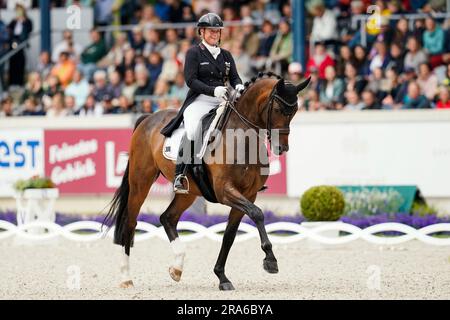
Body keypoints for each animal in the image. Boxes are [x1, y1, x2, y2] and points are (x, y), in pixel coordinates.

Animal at [103, 72, 312, 290]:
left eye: (295, 111)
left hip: (188, 192)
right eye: (279, 109)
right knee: (130, 222)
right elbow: (257, 214)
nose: (282, 148)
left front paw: (222, 277)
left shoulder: (249, 194)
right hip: (140, 182)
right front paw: (270, 260)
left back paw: (177, 268)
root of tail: (148, 118)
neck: (241, 137)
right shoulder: (225, 190)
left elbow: (229, 235)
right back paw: (126, 277)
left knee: (167, 218)